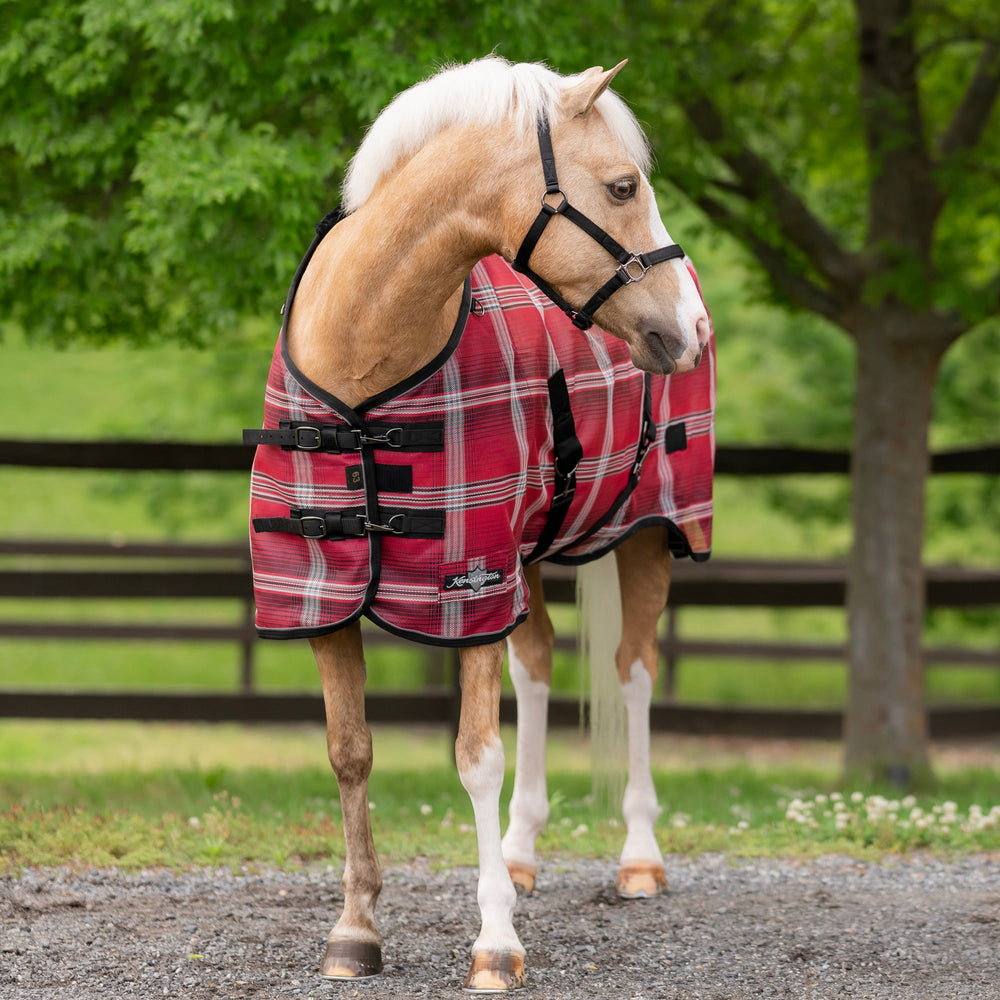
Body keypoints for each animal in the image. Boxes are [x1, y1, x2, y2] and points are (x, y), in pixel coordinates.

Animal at [243, 56, 713, 992]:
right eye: (623, 185)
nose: (692, 329)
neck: (365, 357)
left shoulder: (468, 594)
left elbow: (474, 757)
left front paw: (496, 942)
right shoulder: (321, 597)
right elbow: (350, 751)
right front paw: (355, 930)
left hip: (648, 533)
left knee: (634, 672)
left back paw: (639, 859)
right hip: (526, 561)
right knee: (536, 668)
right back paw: (523, 851)